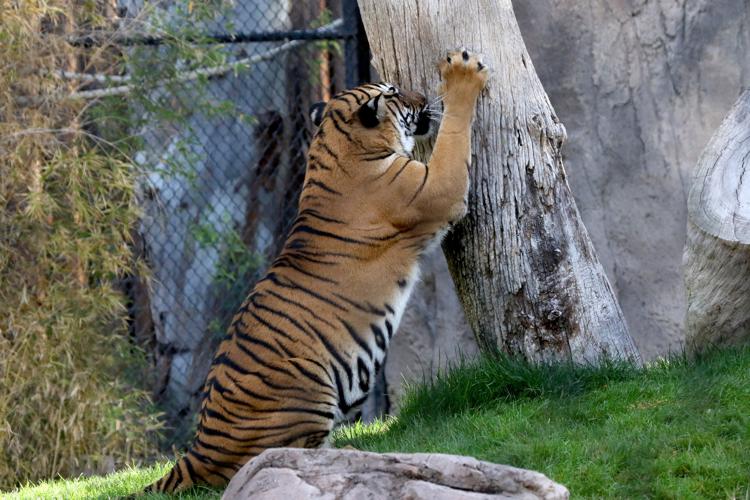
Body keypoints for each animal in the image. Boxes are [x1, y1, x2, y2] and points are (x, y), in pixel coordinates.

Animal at [146, 48, 489, 494]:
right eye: (395, 91)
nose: (421, 95)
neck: (336, 144)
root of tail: (198, 449)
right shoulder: (437, 187)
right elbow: (454, 134)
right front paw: (461, 74)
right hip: (308, 388)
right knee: (275, 458)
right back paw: (353, 454)